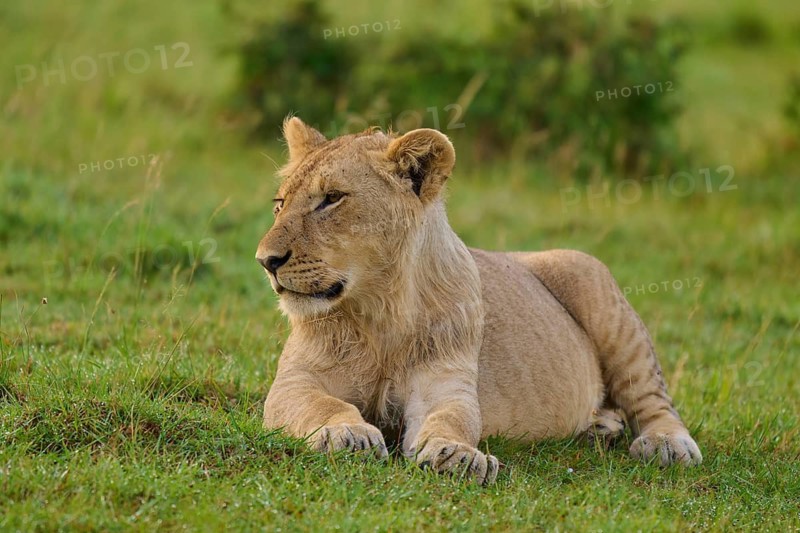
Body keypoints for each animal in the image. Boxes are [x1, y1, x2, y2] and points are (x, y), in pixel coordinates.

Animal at [255, 117, 702, 485]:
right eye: (280, 203)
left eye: (332, 198)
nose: (265, 261)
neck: (381, 310)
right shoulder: (295, 382)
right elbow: (321, 406)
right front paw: (347, 433)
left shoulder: (447, 385)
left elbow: (452, 420)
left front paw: (457, 456)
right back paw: (600, 428)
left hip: (594, 285)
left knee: (654, 400)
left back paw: (667, 445)